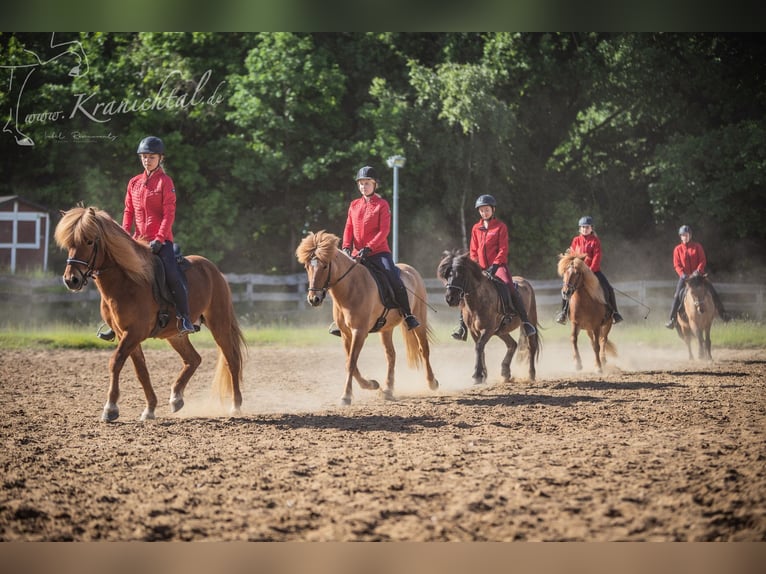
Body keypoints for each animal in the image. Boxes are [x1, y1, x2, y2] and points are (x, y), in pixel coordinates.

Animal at [54, 205, 246, 422]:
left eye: (89, 241)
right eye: (69, 243)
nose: (71, 280)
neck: (127, 281)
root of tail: (214, 270)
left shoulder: (134, 332)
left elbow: (116, 362)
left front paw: (110, 408)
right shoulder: (124, 334)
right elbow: (141, 370)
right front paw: (150, 408)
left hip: (219, 324)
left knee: (231, 360)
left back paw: (235, 406)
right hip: (175, 335)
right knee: (194, 359)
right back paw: (176, 398)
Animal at [296, 230, 438, 405]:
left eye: (325, 266)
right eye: (307, 266)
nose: (313, 299)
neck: (351, 287)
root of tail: (411, 270)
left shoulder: (359, 331)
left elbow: (351, 363)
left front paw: (346, 396)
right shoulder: (346, 334)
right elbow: (350, 363)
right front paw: (372, 384)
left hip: (419, 320)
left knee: (424, 349)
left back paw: (432, 382)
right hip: (386, 329)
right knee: (391, 355)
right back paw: (388, 390)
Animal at [437, 250, 540, 384]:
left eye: (461, 275)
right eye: (448, 275)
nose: (450, 299)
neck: (477, 300)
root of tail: (524, 281)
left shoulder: (488, 329)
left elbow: (479, 347)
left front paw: (477, 375)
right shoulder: (474, 331)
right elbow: (480, 349)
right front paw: (483, 376)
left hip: (529, 320)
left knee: (531, 346)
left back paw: (531, 374)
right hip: (500, 331)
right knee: (512, 344)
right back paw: (505, 371)